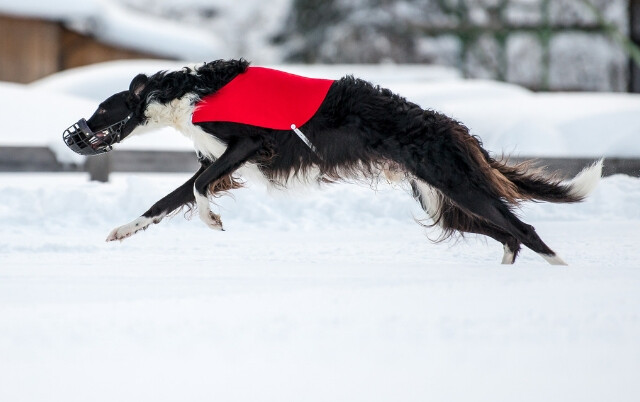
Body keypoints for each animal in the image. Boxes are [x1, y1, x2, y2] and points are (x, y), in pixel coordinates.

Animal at [62, 59, 604, 264]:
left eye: (102, 110)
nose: (74, 134)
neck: (185, 92)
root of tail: (449, 125)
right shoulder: (219, 159)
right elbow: (163, 200)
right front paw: (122, 230)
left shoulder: (248, 145)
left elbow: (196, 192)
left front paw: (212, 220)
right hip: (441, 199)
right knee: (510, 235)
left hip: (458, 185)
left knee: (525, 230)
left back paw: (558, 271)